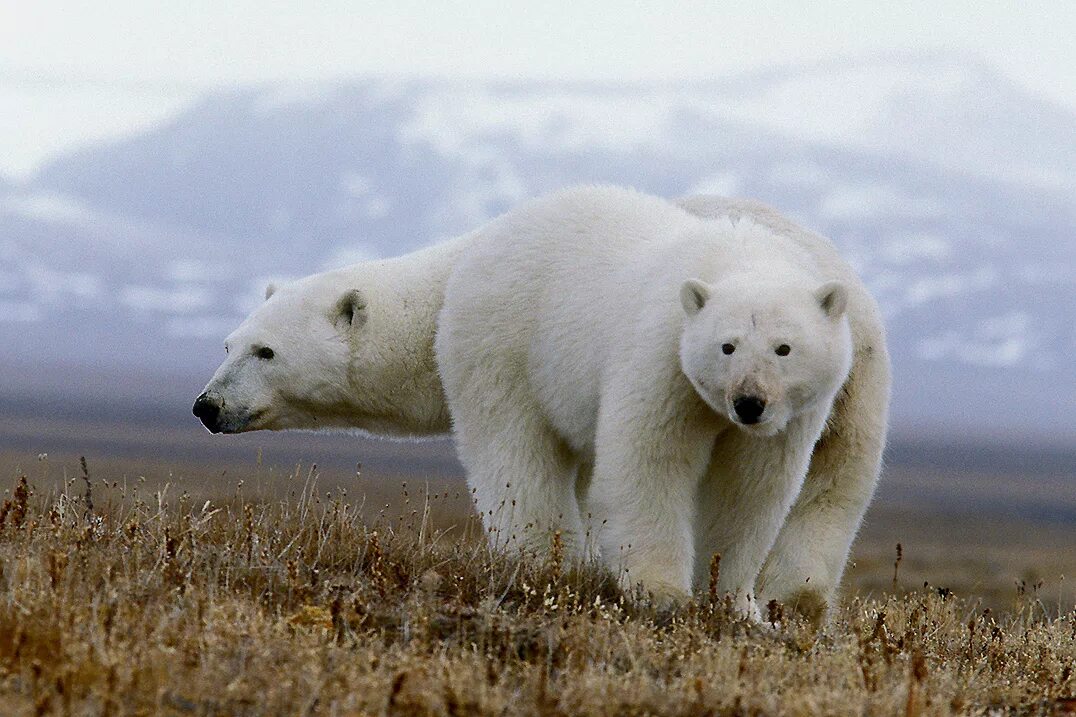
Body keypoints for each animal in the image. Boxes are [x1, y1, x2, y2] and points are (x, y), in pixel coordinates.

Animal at [436, 187, 890, 615]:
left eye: (784, 348)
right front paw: (661, 592)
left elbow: (750, 488)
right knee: (517, 457)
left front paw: (735, 602)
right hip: (506, 346)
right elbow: (650, 463)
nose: (748, 403)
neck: (742, 253)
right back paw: (546, 561)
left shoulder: (797, 416)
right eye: (727, 346)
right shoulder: (663, 357)